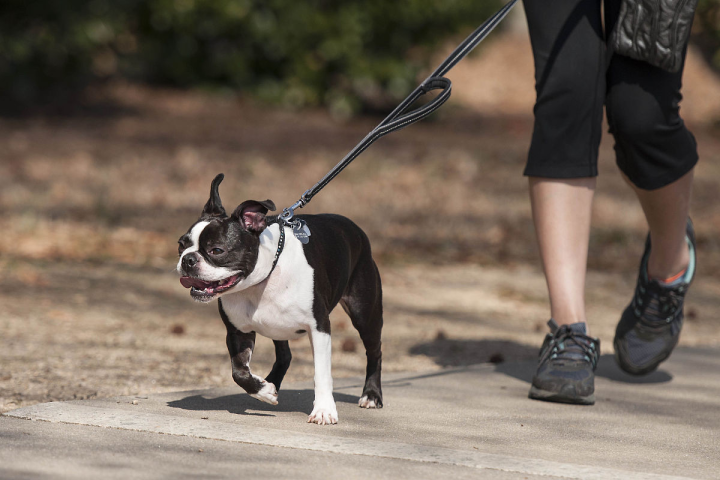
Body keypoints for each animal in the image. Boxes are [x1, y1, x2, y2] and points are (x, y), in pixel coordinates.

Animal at [176, 175, 382, 424]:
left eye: (217, 250)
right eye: (180, 245)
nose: (187, 259)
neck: (260, 281)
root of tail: (354, 228)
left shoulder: (319, 328)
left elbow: (321, 373)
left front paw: (324, 409)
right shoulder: (238, 332)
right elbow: (239, 372)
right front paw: (263, 390)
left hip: (365, 314)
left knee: (374, 351)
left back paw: (371, 395)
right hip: (278, 327)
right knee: (285, 355)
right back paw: (270, 383)